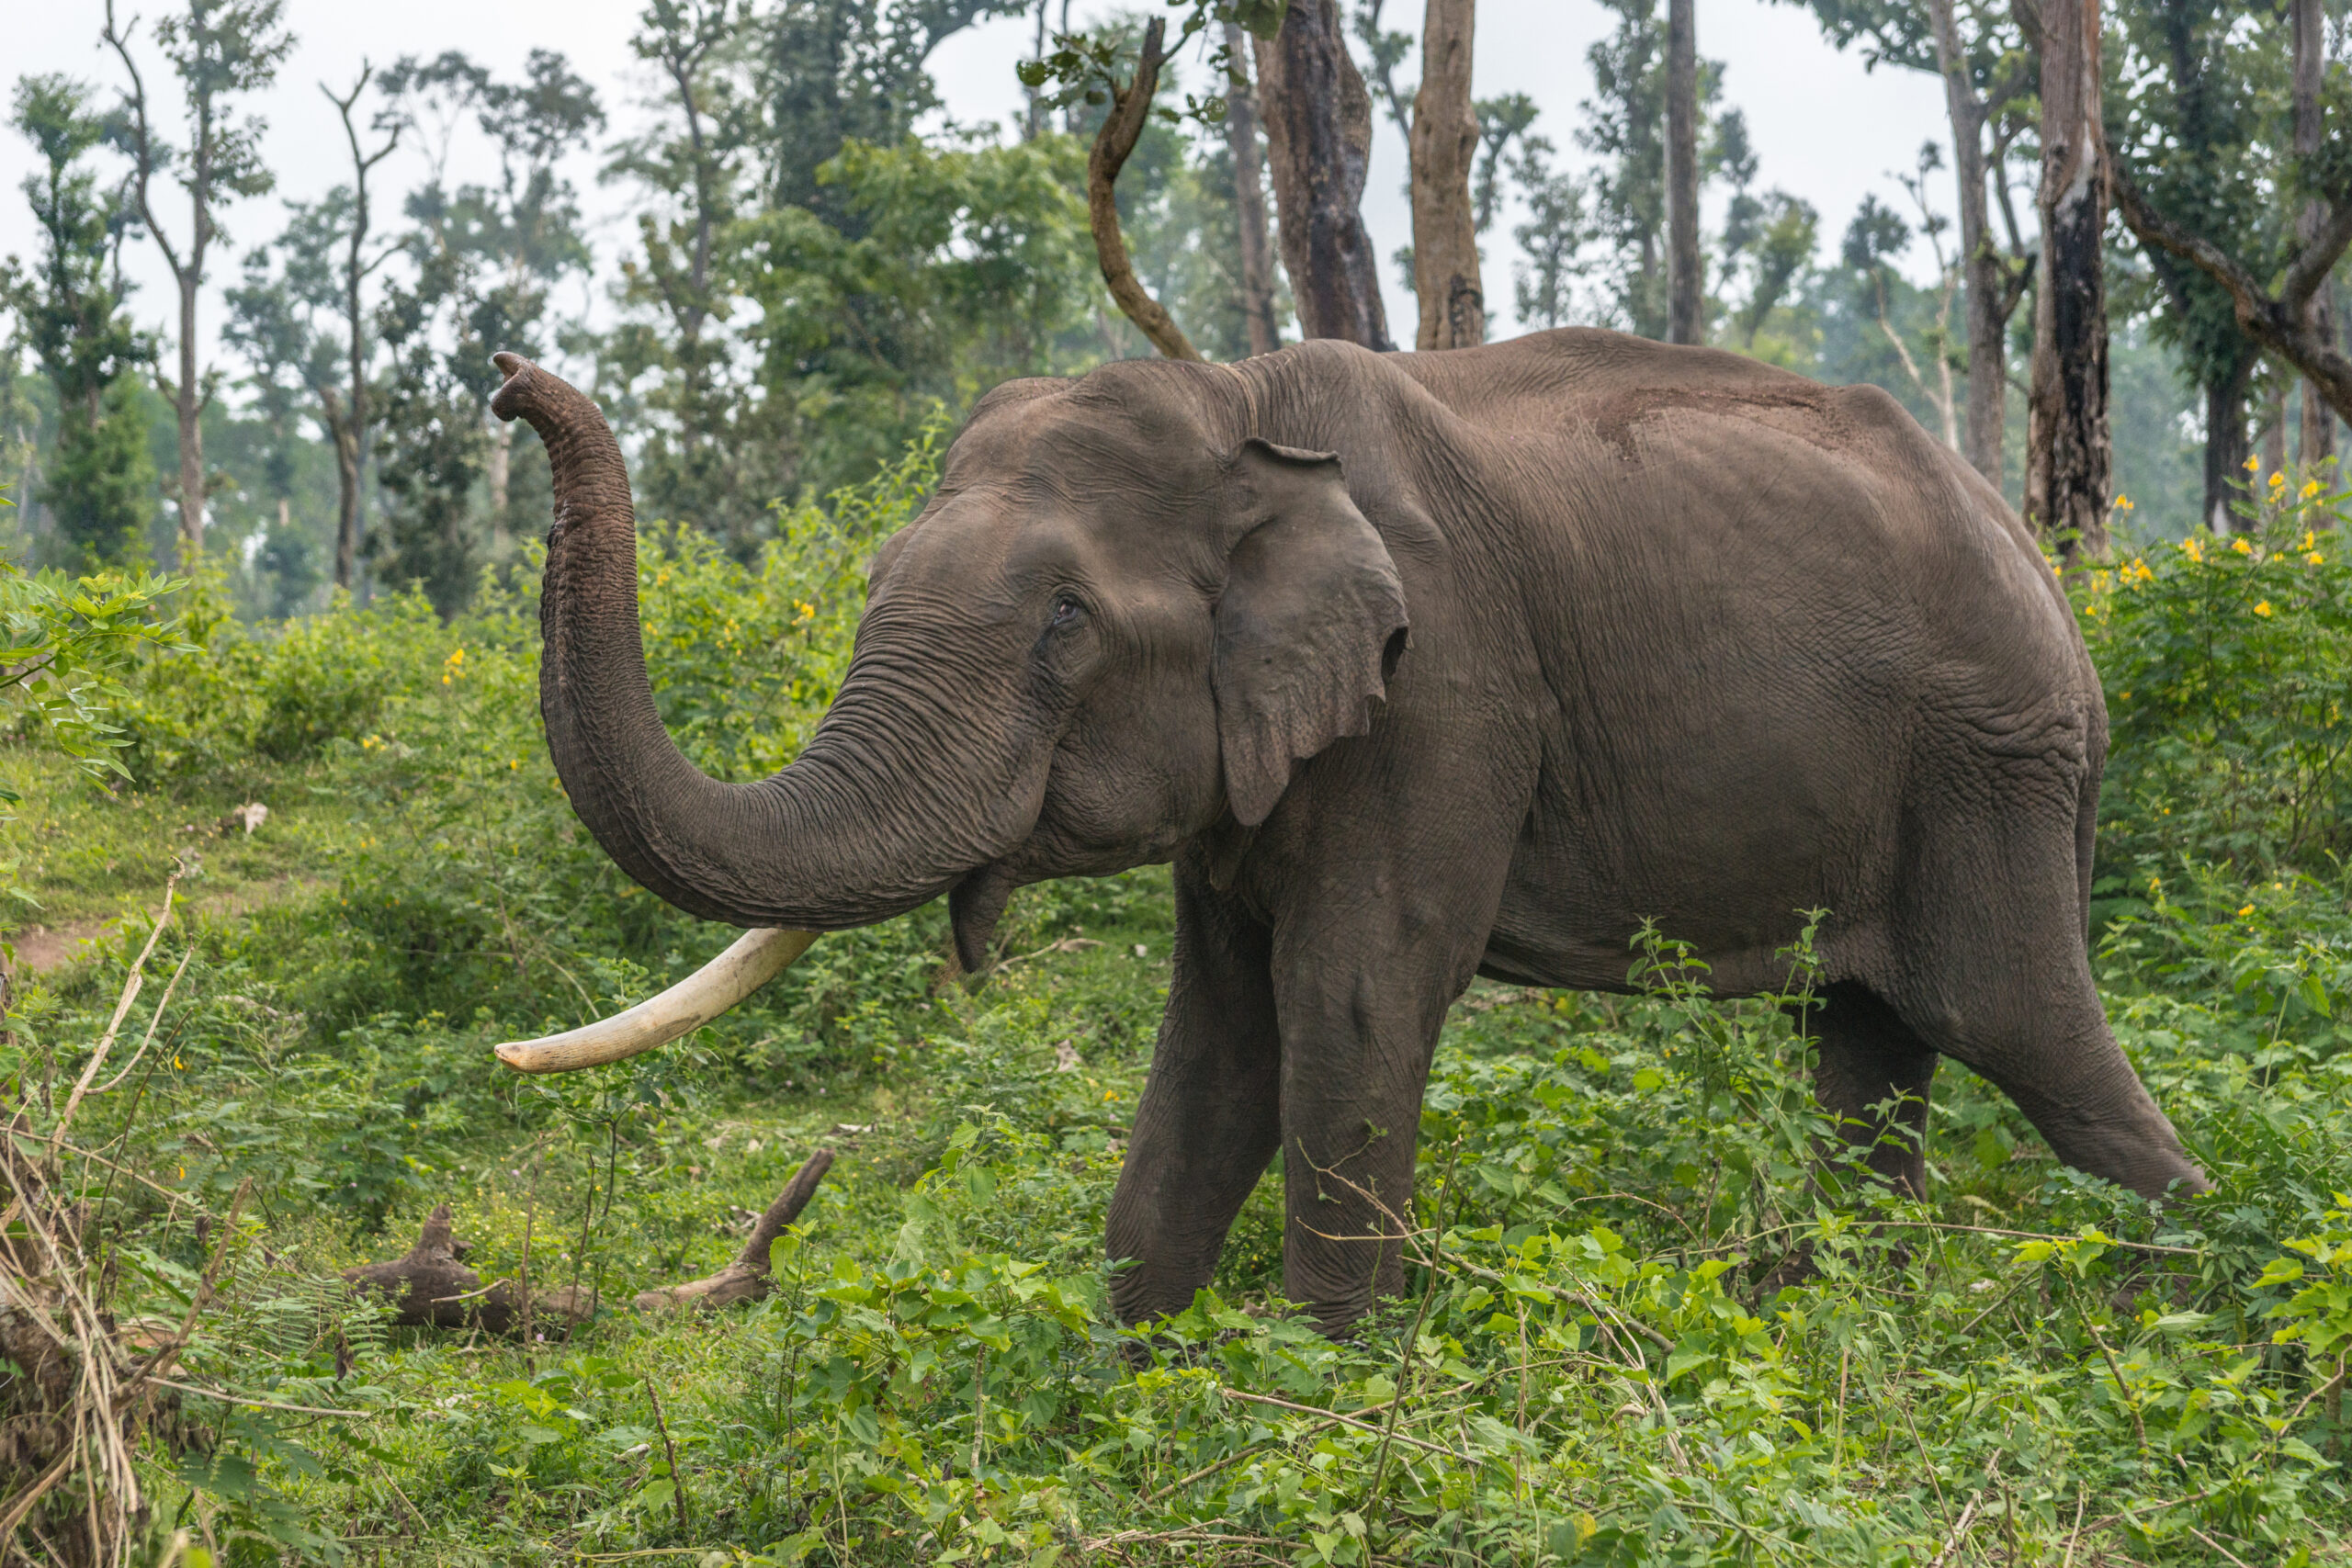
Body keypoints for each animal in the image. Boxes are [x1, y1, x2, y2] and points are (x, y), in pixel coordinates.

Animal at [477, 333, 2201, 1335]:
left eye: (1064, 627)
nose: (504, 377)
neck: (1239, 411)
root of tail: (2050, 567)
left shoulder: (1442, 689)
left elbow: (1352, 997)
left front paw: (1327, 1390)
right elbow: (1219, 1028)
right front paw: (1130, 1370)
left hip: (1993, 766)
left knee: (2014, 1023)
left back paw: (2185, 1292)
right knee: (1869, 1041)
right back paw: (1844, 1322)